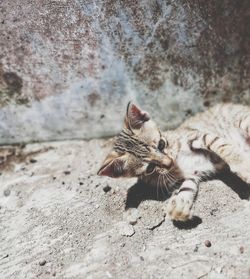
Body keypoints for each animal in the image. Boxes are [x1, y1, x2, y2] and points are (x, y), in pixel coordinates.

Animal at [97, 101, 250, 222]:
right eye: (150, 168)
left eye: (161, 144)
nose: (169, 162)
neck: (178, 163)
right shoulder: (190, 175)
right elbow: (186, 188)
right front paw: (179, 207)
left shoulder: (198, 135)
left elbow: (222, 146)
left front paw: (243, 165)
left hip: (244, 121)